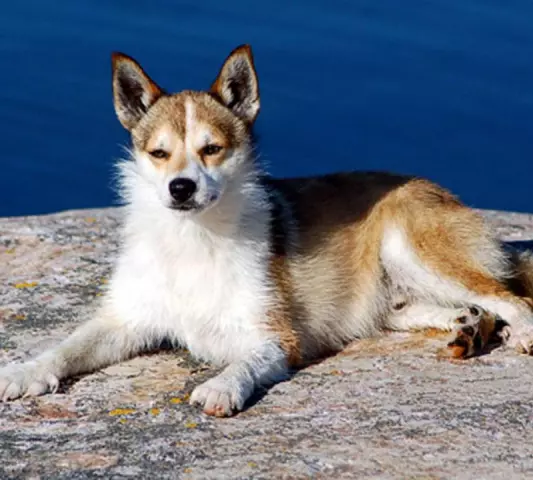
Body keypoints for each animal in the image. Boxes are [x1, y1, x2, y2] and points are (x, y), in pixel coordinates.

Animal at [1, 46, 532, 416]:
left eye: (212, 148)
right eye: (159, 153)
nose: (180, 187)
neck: (193, 239)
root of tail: (442, 192)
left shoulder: (277, 339)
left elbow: (245, 362)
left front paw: (221, 386)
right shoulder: (125, 321)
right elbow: (67, 347)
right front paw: (27, 371)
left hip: (410, 248)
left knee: (512, 298)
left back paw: (514, 332)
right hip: (395, 297)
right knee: (452, 307)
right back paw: (467, 327)